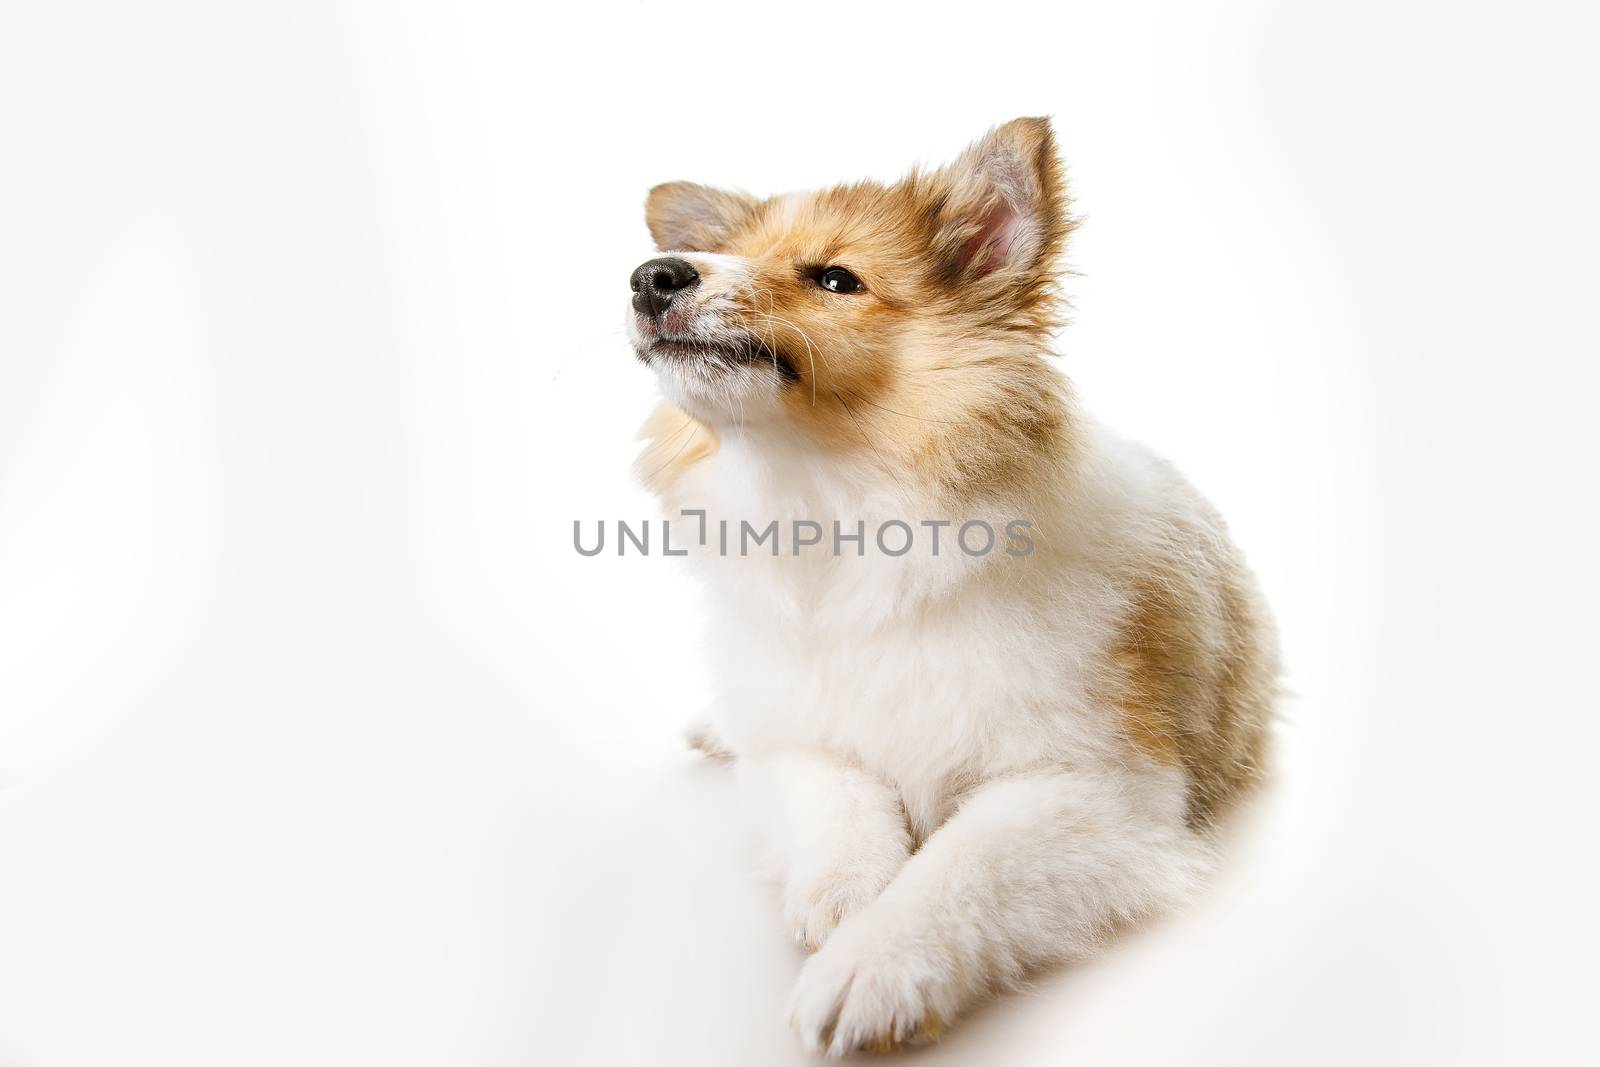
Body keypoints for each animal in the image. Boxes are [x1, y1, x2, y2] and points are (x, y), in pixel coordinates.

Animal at [620, 120, 1273, 1055]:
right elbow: (841, 804)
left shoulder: (1096, 788)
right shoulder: (800, 740)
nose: (654, 275)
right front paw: (847, 896)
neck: (835, 509)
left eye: (834, 278)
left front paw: (872, 963)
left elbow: (960, 866)